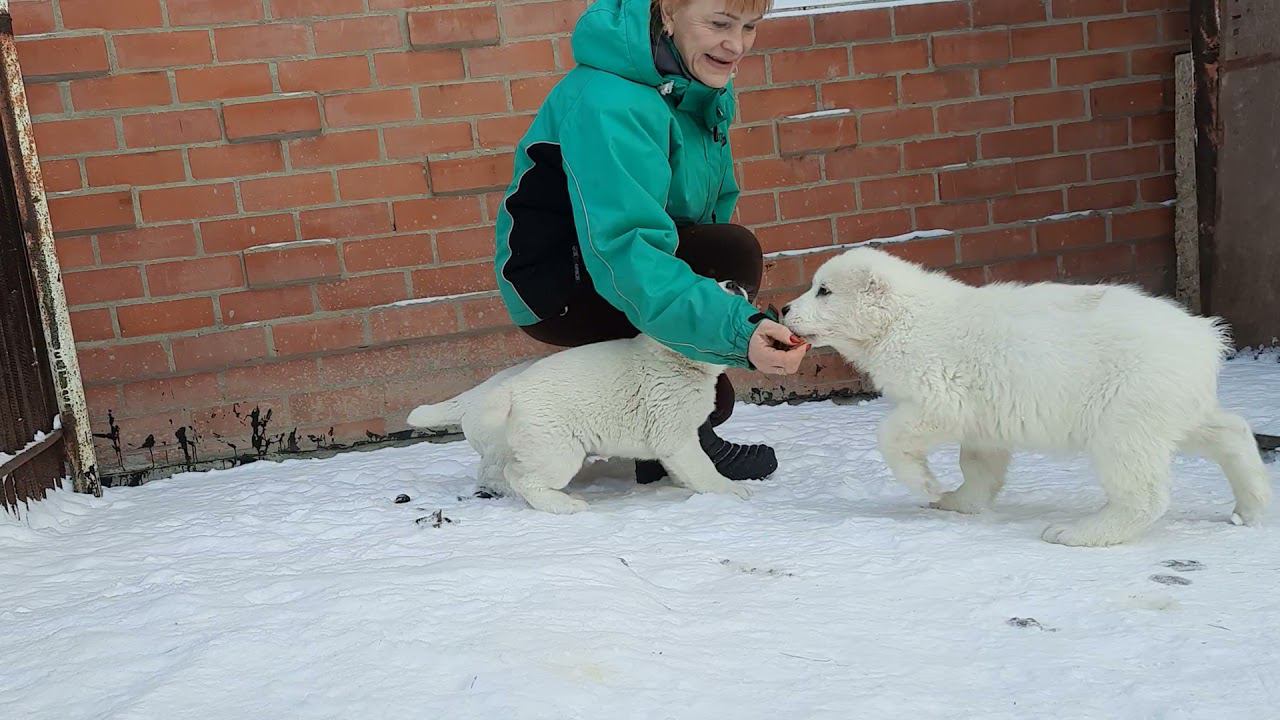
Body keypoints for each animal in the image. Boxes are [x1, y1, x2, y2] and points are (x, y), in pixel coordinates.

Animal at [407, 280, 747, 509]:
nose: (733, 283)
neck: (673, 359)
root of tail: (511, 388)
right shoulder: (677, 437)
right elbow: (703, 467)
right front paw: (729, 490)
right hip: (557, 453)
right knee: (521, 478)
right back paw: (565, 505)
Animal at [778, 245, 1269, 543]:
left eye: (824, 290)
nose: (782, 309)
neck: (904, 318)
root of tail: (1203, 337)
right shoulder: (985, 410)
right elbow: (979, 459)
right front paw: (959, 500)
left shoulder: (940, 387)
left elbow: (900, 430)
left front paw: (925, 482)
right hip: (1173, 401)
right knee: (1226, 430)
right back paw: (1252, 503)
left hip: (1127, 404)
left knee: (1140, 483)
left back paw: (1078, 532)